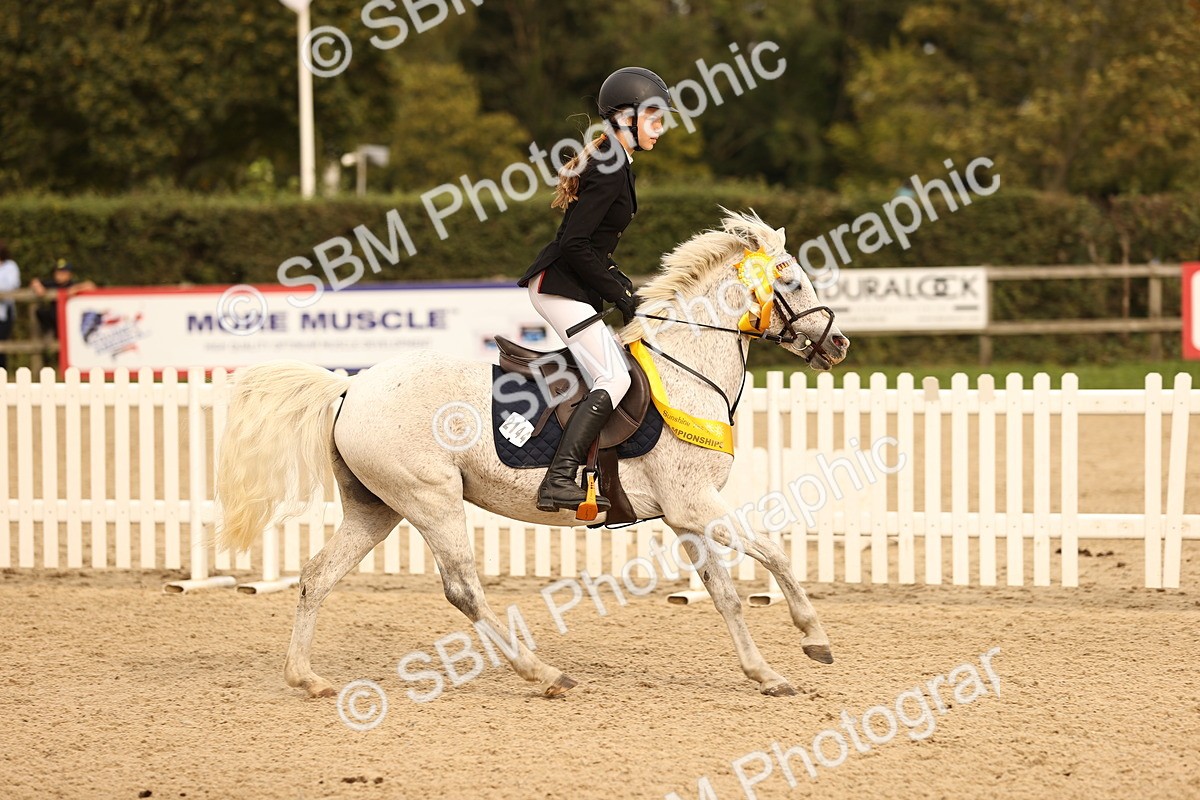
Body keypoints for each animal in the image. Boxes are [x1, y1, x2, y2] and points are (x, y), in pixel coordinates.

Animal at [216, 209, 850, 699]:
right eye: (793, 283)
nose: (839, 344)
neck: (688, 369)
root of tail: (350, 387)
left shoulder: (685, 515)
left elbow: (726, 595)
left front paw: (765, 674)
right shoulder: (694, 503)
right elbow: (775, 554)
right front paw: (814, 637)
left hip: (378, 508)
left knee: (316, 577)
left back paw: (308, 679)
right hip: (431, 499)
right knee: (463, 590)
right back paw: (543, 674)